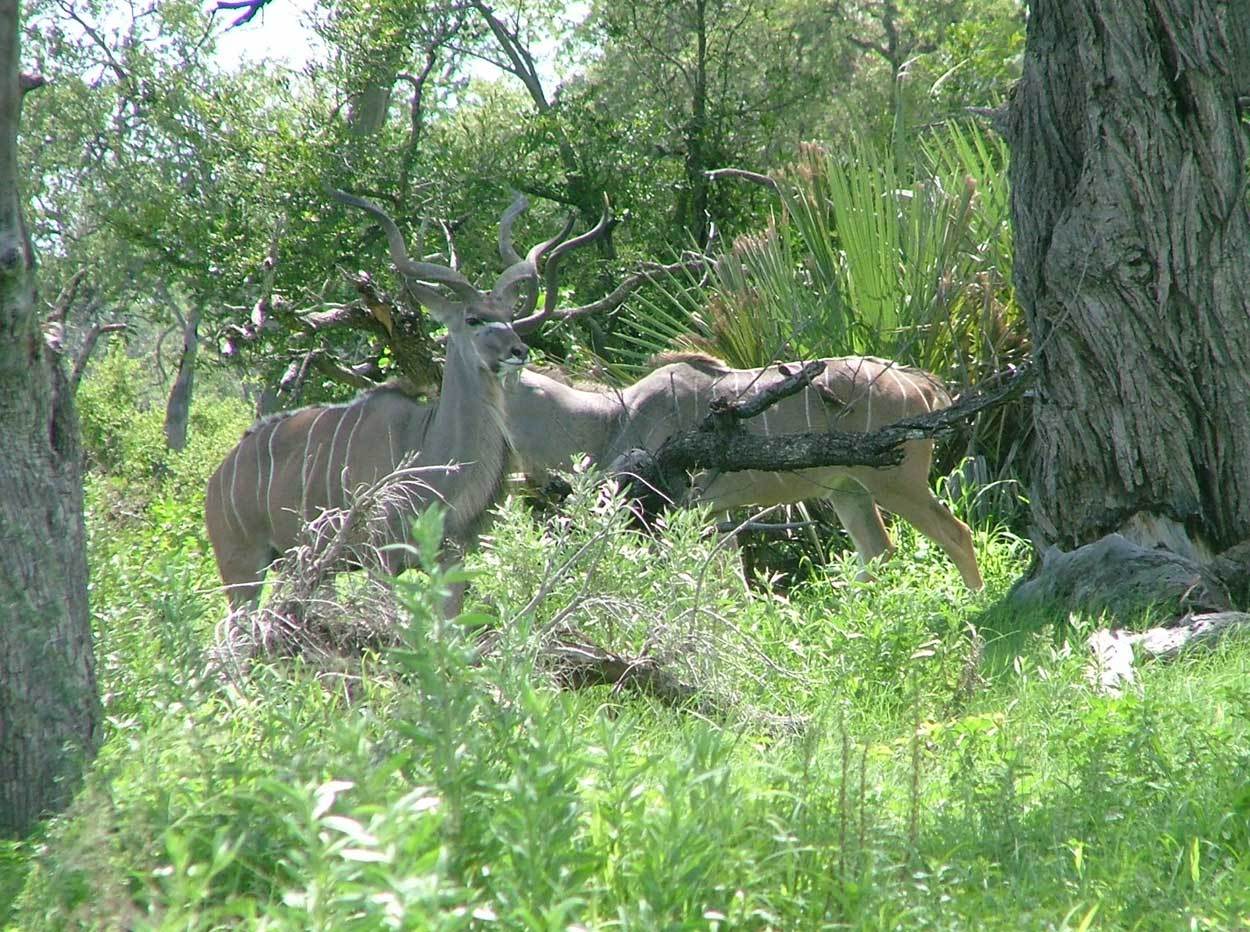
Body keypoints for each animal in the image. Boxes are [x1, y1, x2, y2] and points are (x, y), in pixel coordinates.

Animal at [205, 188, 575, 609]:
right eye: (473, 319)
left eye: (510, 317)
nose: (519, 350)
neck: (428, 450)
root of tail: (216, 479)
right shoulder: (380, 557)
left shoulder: (450, 559)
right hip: (242, 567)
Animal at [502, 247, 980, 584]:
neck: (611, 418)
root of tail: (922, 384)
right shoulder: (714, 511)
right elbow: (731, 580)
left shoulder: (672, 503)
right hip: (848, 488)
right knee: (878, 551)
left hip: (897, 481)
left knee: (957, 534)